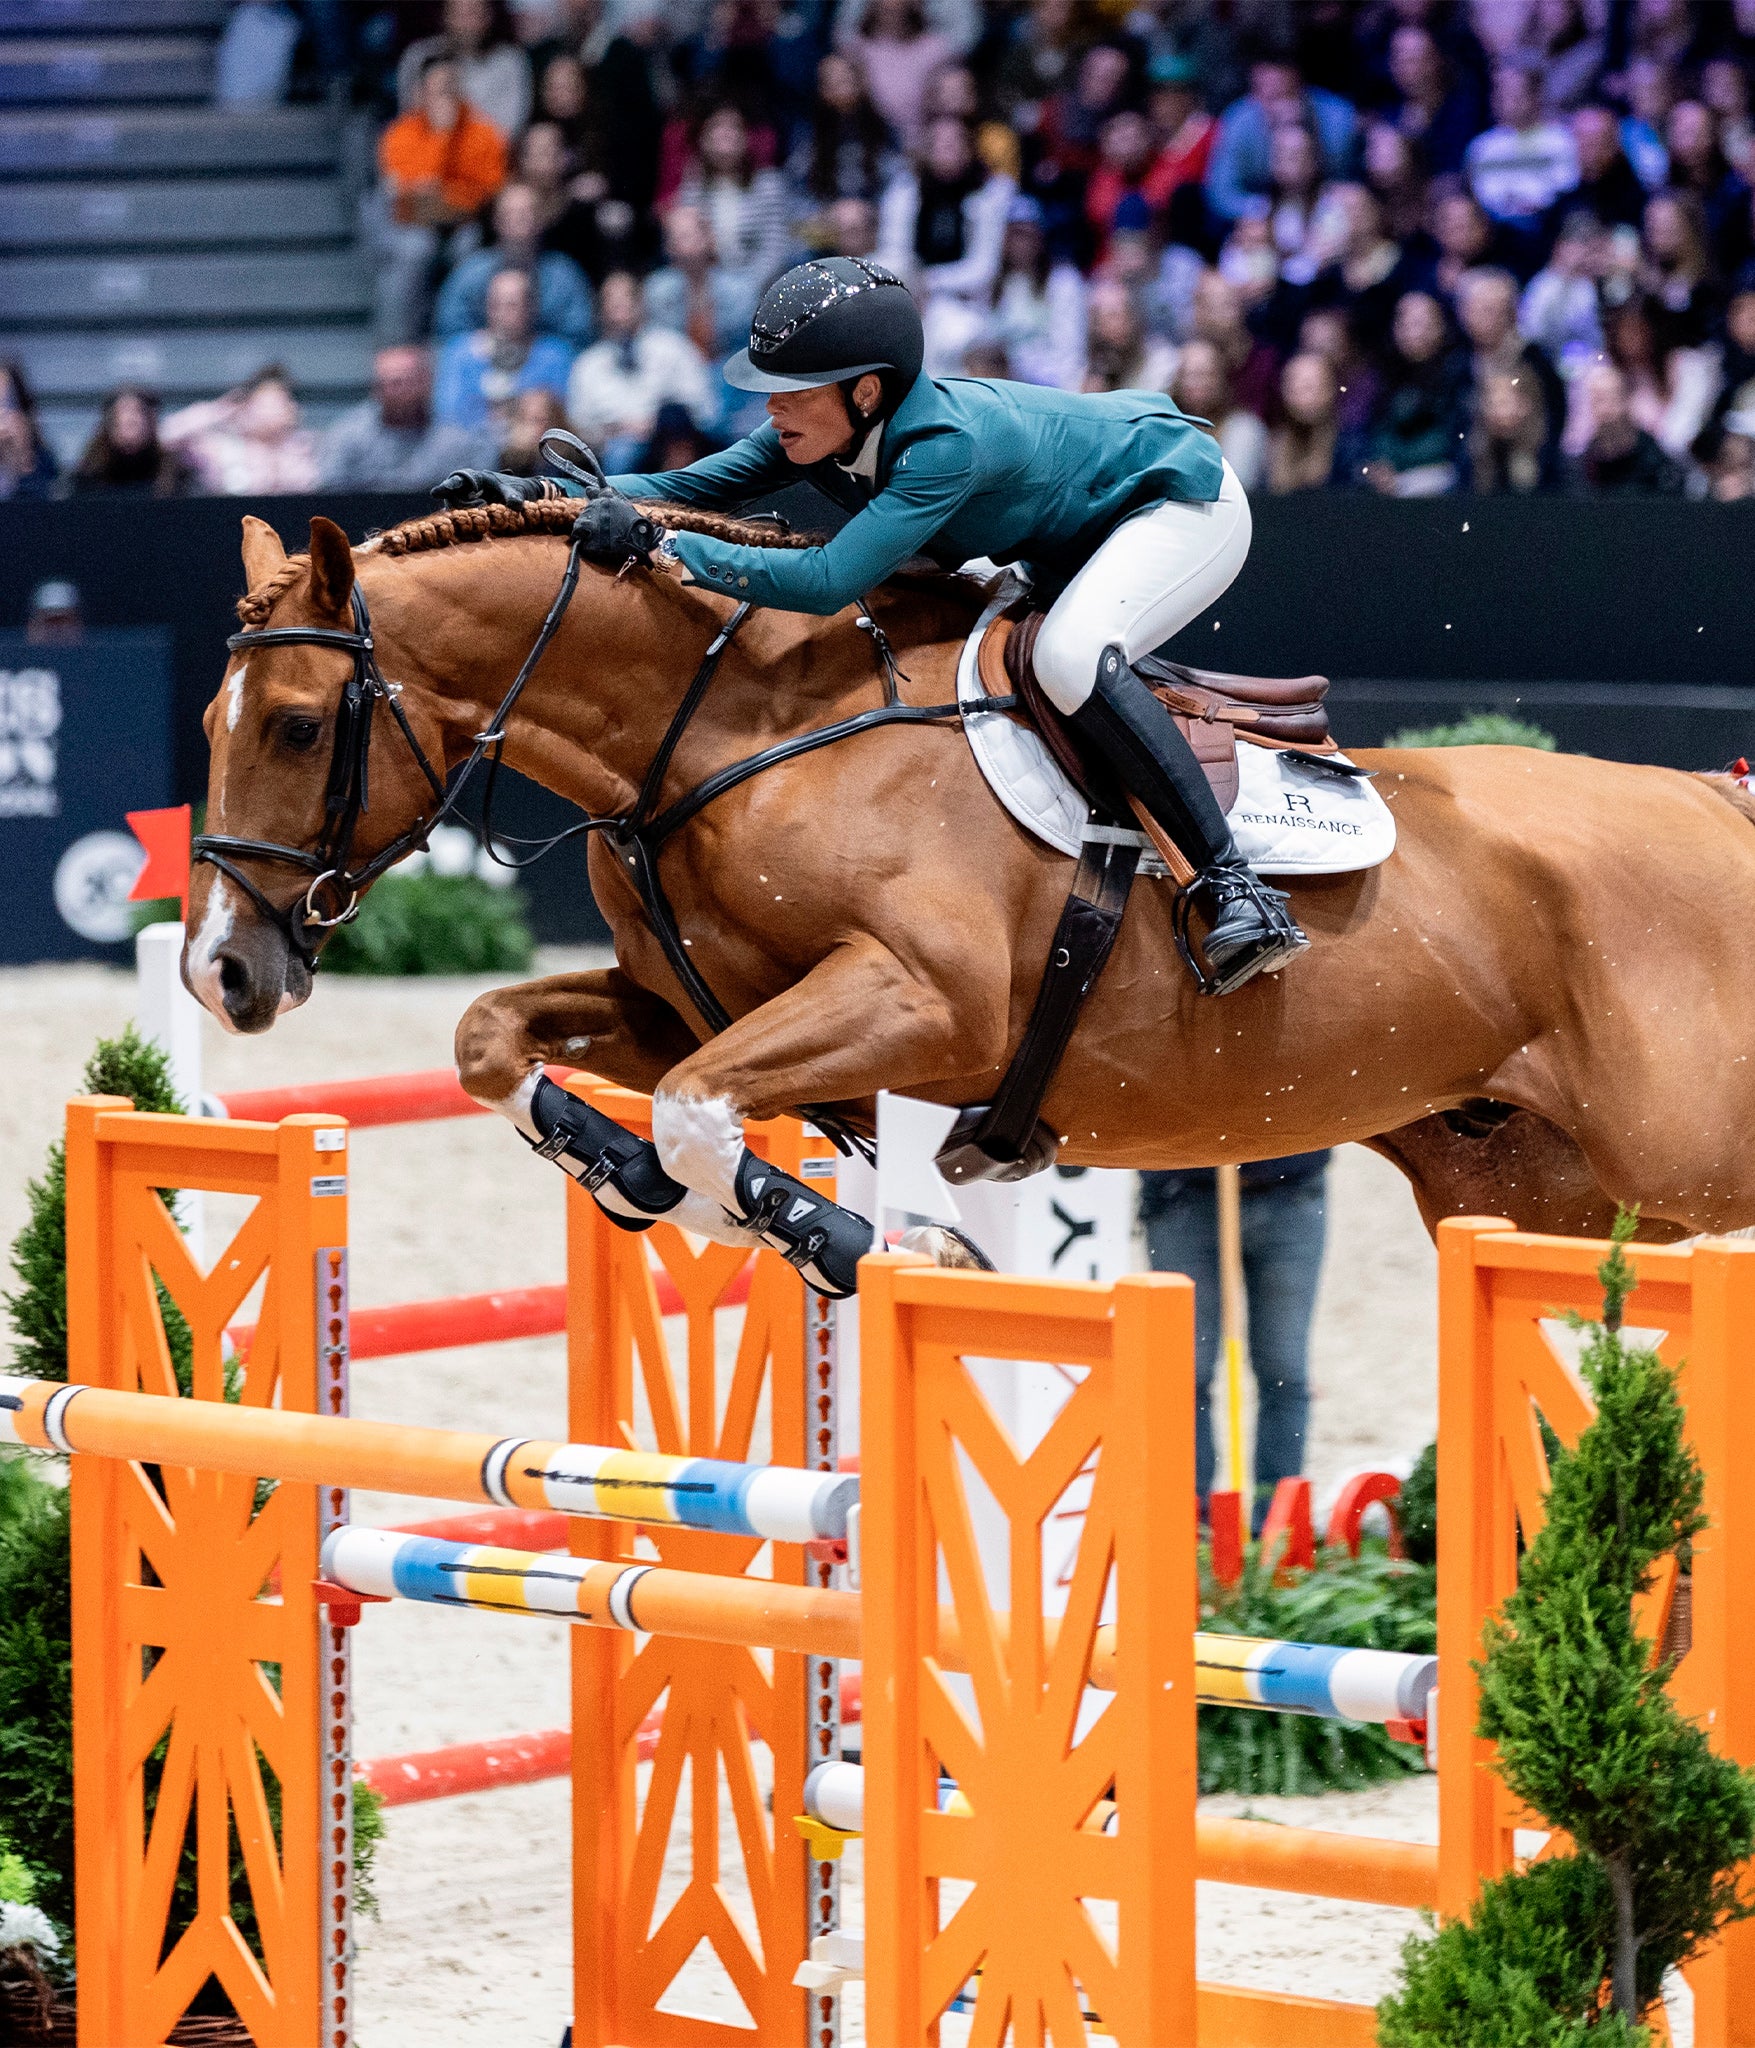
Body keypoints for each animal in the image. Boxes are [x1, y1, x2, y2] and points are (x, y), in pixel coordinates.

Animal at [184, 503, 1755, 1260]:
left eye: (299, 726)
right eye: (211, 722)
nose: (222, 970)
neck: (727, 730)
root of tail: (1709, 803)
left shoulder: (925, 1006)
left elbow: (698, 1109)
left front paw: (833, 1234)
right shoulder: (679, 1003)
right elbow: (493, 1038)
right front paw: (631, 1174)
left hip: (1681, 1162)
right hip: (1535, 1186)